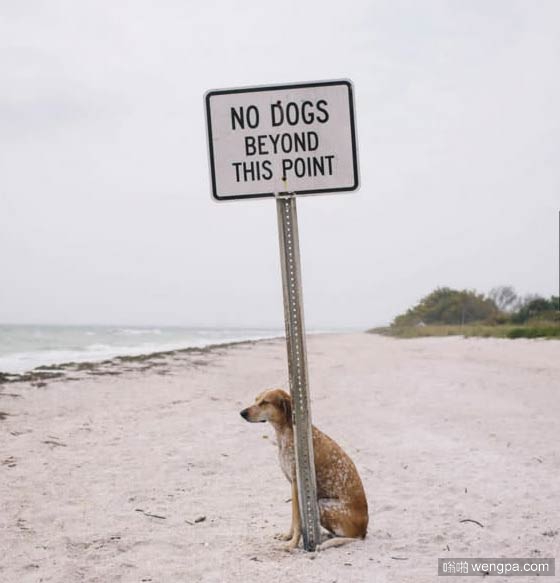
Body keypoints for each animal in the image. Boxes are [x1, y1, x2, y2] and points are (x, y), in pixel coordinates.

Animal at [240, 390, 368, 548]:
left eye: (265, 402)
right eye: (256, 399)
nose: (242, 413)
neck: (286, 432)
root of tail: (364, 530)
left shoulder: (296, 484)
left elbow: (297, 520)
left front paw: (292, 544)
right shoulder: (292, 485)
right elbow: (294, 519)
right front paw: (288, 537)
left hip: (322, 505)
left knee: (352, 537)